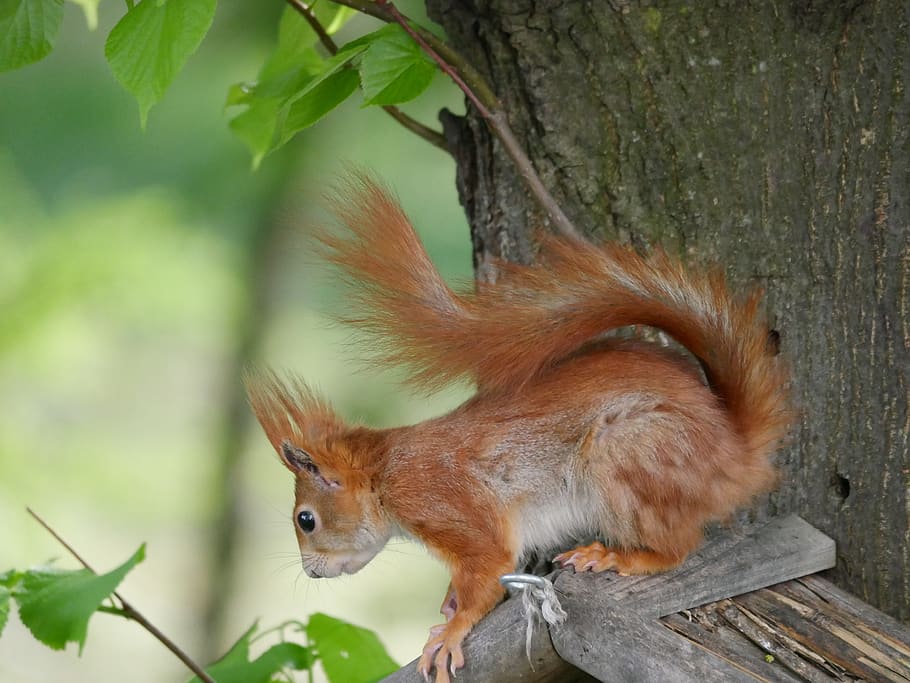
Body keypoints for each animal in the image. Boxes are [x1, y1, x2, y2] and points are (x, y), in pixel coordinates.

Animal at [246, 175, 793, 683]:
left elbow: (488, 569)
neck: (385, 475)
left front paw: (452, 630)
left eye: (306, 520)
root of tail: (736, 453)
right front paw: (446, 605)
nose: (311, 571)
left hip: (627, 451)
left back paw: (615, 557)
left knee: (677, 548)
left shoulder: (443, 503)